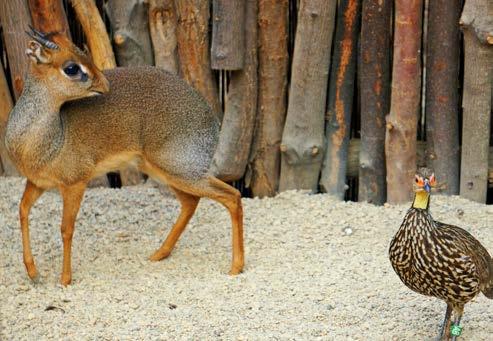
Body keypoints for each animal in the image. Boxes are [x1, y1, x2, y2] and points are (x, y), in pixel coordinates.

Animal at [3, 28, 242, 284]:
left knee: (232, 196)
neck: (51, 138)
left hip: (183, 170)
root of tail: (213, 120)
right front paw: (33, 272)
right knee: (192, 202)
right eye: (72, 67)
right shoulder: (37, 182)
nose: (105, 84)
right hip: (163, 170)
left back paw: (236, 267)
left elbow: (66, 229)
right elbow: (22, 211)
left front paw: (65, 279)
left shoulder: (76, 183)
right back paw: (159, 254)